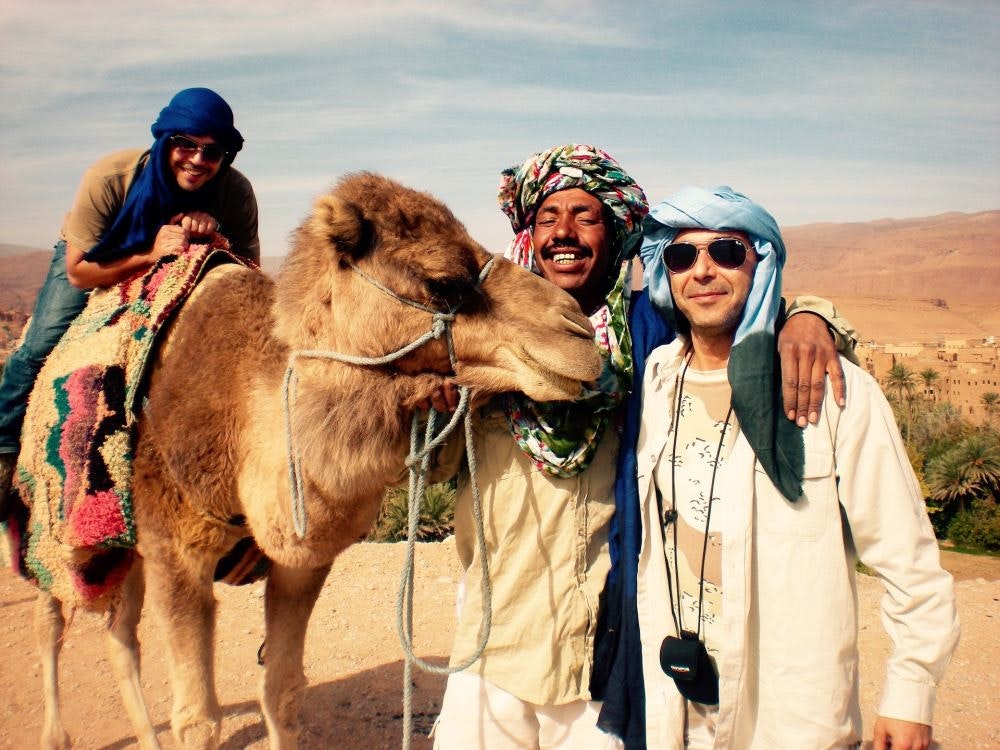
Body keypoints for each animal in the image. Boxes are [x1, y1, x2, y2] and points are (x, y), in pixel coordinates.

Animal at [32, 172, 602, 749]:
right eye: (442, 282)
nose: (578, 332)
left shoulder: (301, 560)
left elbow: (282, 692)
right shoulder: (175, 549)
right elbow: (198, 721)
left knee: (119, 634)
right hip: (54, 528)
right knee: (55, 619)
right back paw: (55, 732)